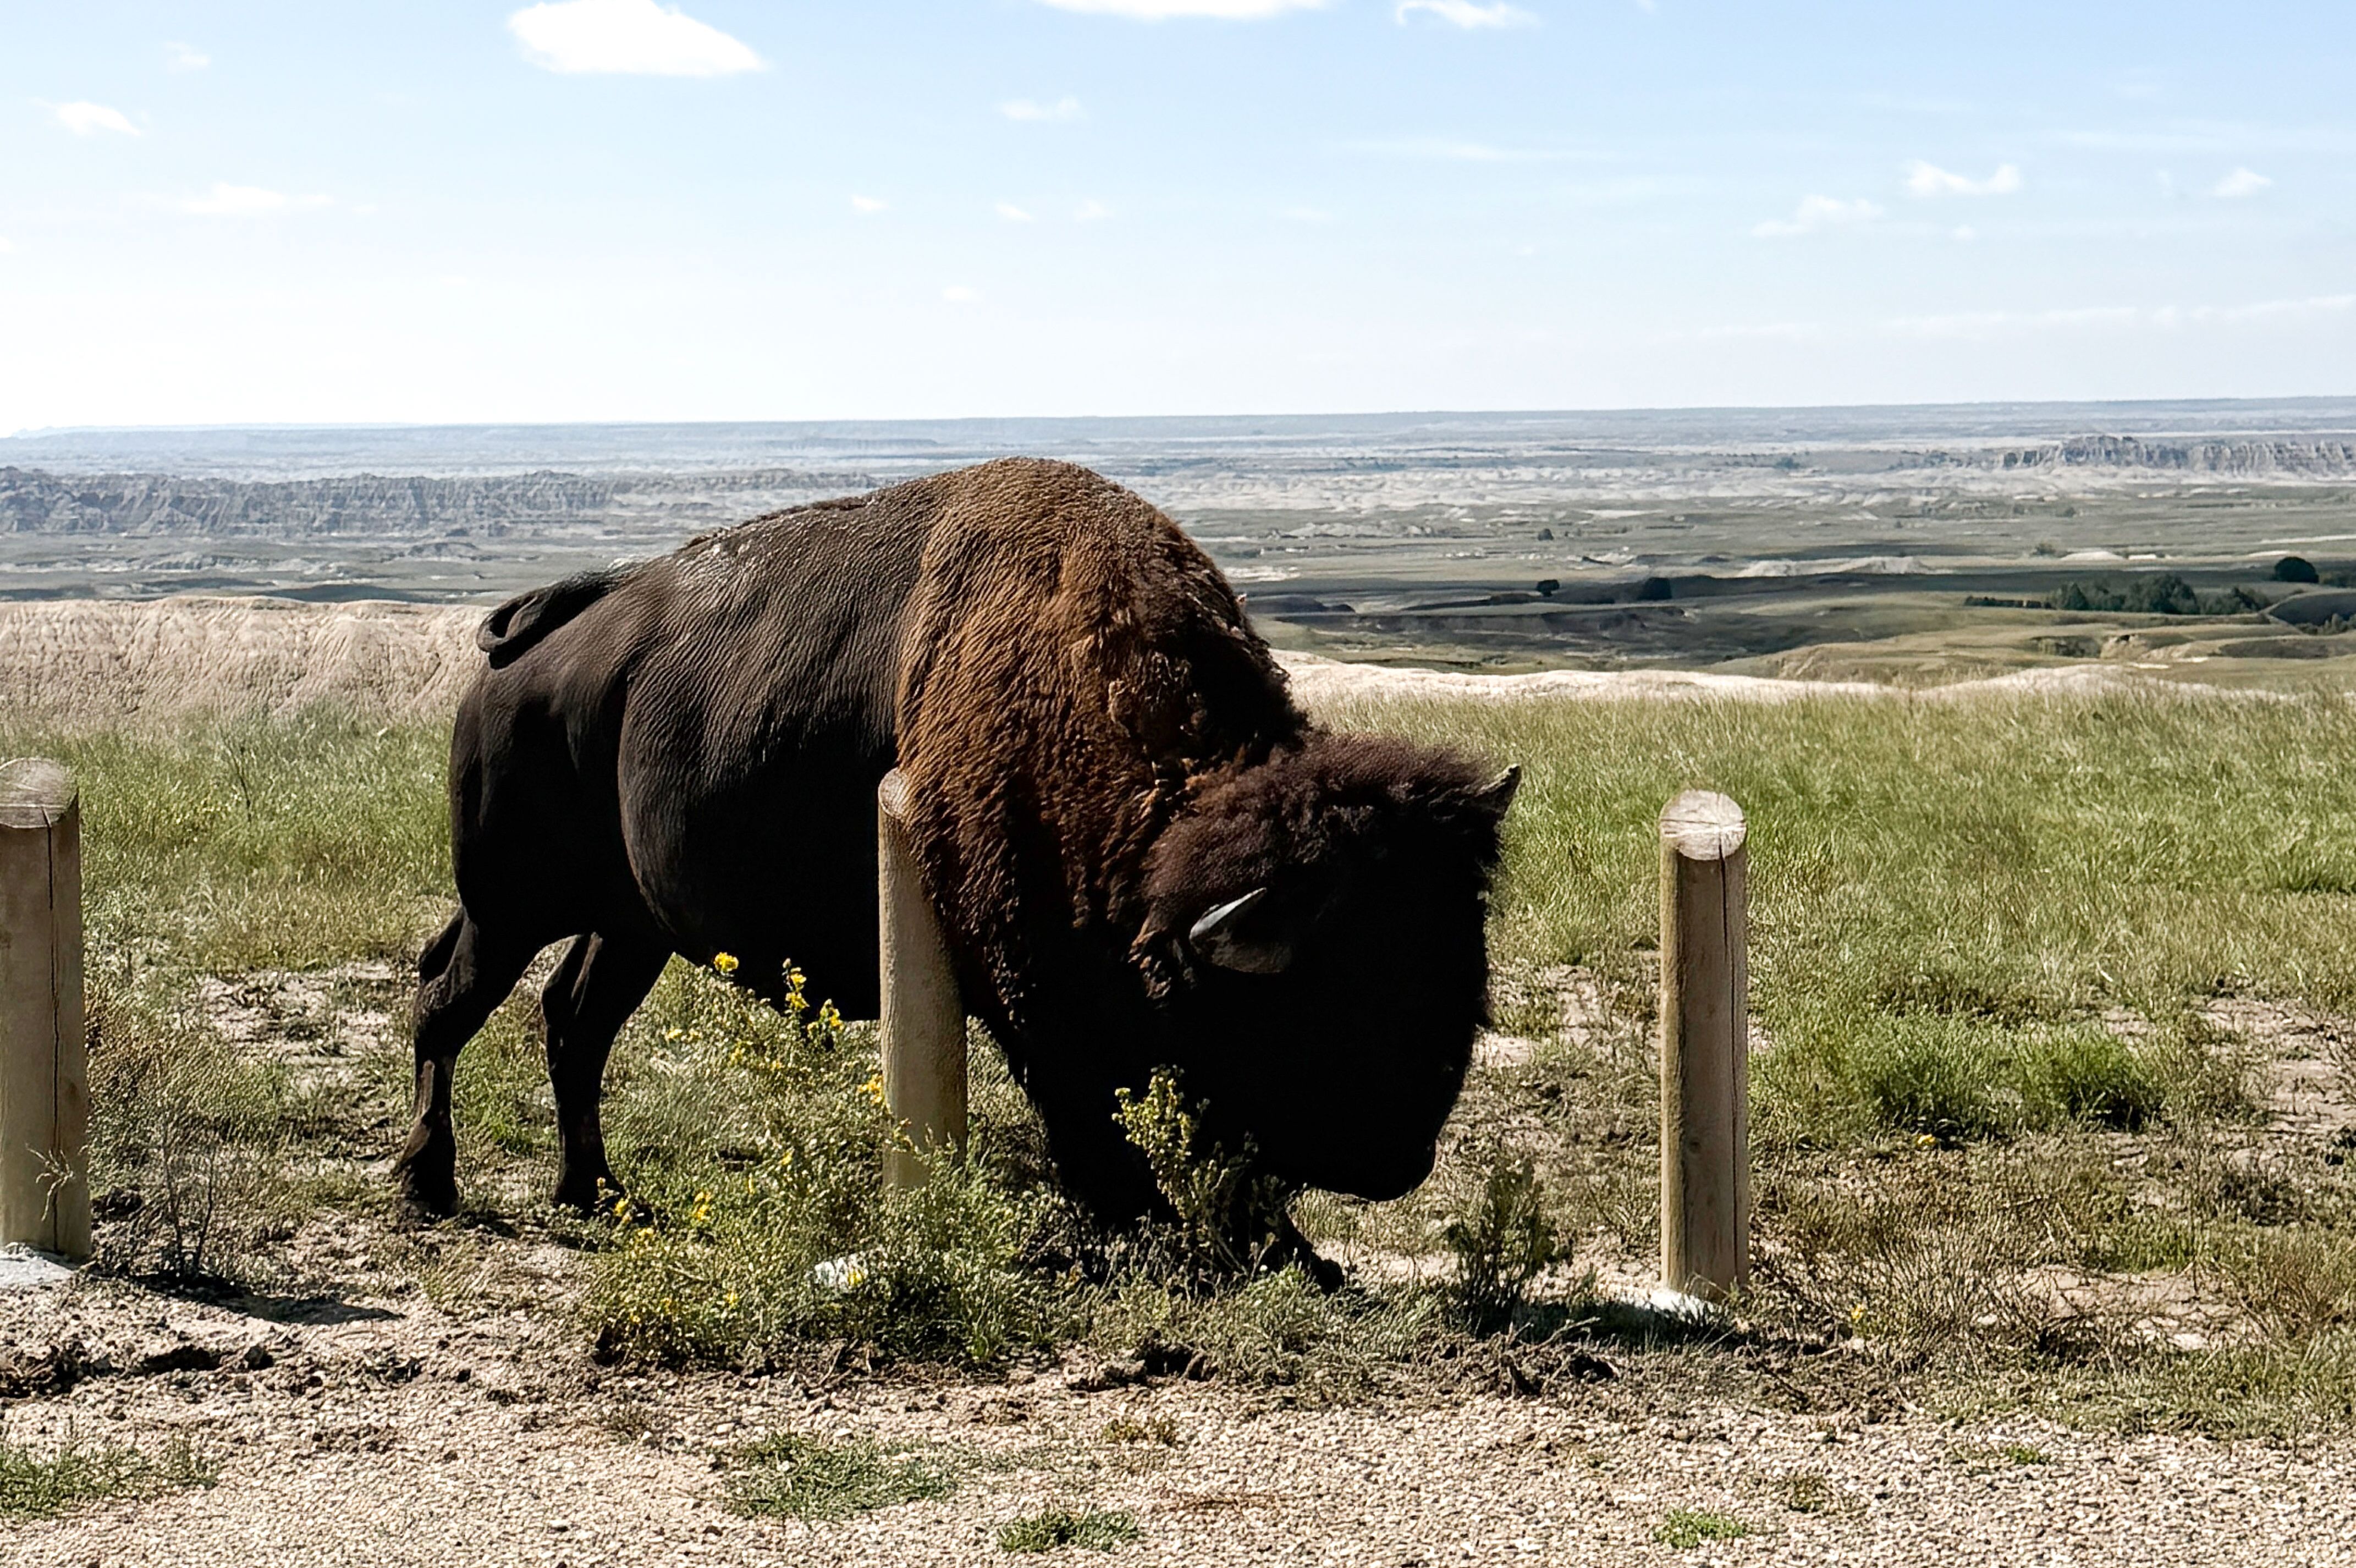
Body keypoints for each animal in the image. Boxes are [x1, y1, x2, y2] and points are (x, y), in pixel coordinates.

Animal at [394, 459, 1516, 1250]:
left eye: (1461, 966)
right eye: (1340, 994)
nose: (1402, 1155)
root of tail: (532, 644)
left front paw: (1289, 1253)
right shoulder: (1028, 991)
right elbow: (1093, 1124)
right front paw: (1159, 1237)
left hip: (629, 925)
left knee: (572, 1020)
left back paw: (597, 1194)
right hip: (509, 903)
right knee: (449, 1002)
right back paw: (428, 1184)